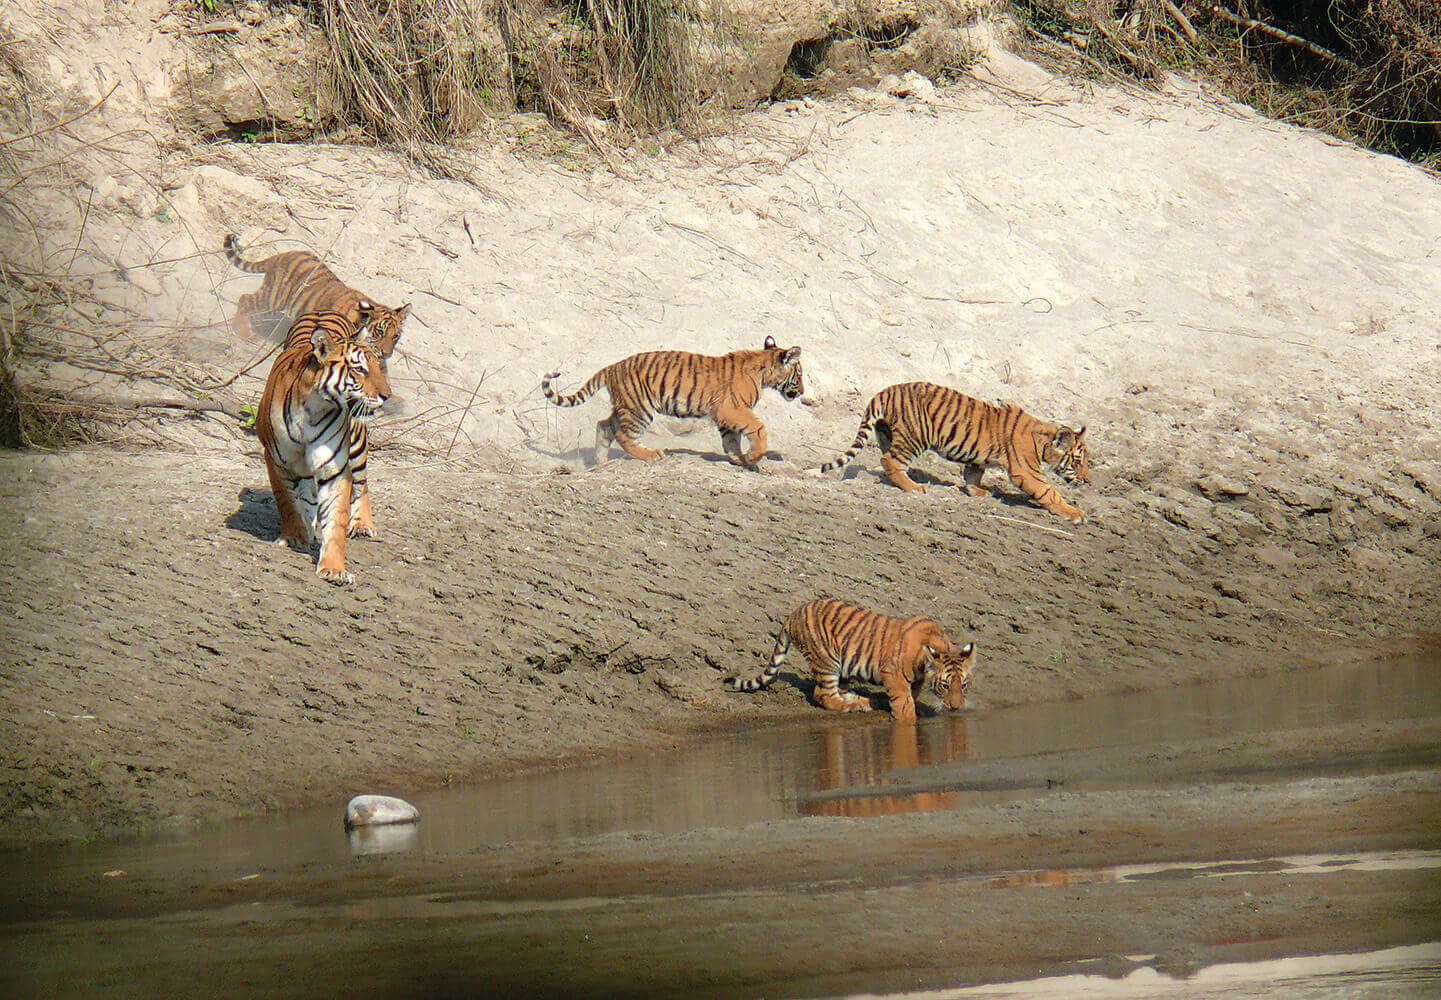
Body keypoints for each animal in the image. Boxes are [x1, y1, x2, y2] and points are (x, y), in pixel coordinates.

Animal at [223, 234, 409, 363]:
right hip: (274, 297)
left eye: (395, 336)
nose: (386, 354)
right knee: (245, 299)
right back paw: (244, 331)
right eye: (379, 332)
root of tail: (282, 255)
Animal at [254, 307, 391, 585]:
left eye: (378, 367)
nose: (387, 395)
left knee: (362, 484)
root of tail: (323, 309)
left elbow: (336, 519)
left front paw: (334, 568)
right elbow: (287, 502)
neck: (314, 407)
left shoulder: (336, 469)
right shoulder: (276, 460)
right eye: (360, 369)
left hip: (357, 443)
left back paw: (362, 524)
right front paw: (295, 536)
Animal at [541, 336, 804, 467]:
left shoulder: (726, 414)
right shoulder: (732, 408)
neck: (764, 370)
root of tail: (612, 366)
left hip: (625, 406)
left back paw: (600, 462)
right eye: (799, 374)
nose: (802, 392)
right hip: (640, 409)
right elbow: (758, 428)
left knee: (604, 426)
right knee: (624, 435)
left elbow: (731, 440)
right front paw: (753, 457)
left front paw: (739, 459)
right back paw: (651, 455)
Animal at [725, 597, 975, 724]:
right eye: (945, 685)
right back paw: (852, 706)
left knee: (839, 691)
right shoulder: (892, 673)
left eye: (963, 685)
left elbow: (911, 695)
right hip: (827, 660)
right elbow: (903, 701)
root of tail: (793, 614)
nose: (956, 707)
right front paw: (908, 718)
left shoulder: (916, 680)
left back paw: (863, 701)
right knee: (822, 694)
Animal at [817, 381, 1090, 523]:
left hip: (888, 433)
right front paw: (1074, 513)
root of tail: (885, 391)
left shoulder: (978, 457)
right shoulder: (1026, 472)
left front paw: (977, 491)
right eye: (1077, 462)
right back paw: (914, 487)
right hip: (915, 436)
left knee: (886, 460)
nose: (1087, 480)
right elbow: (1049, 492)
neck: (1043, 441)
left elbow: (973, 473)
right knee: (890, 460)